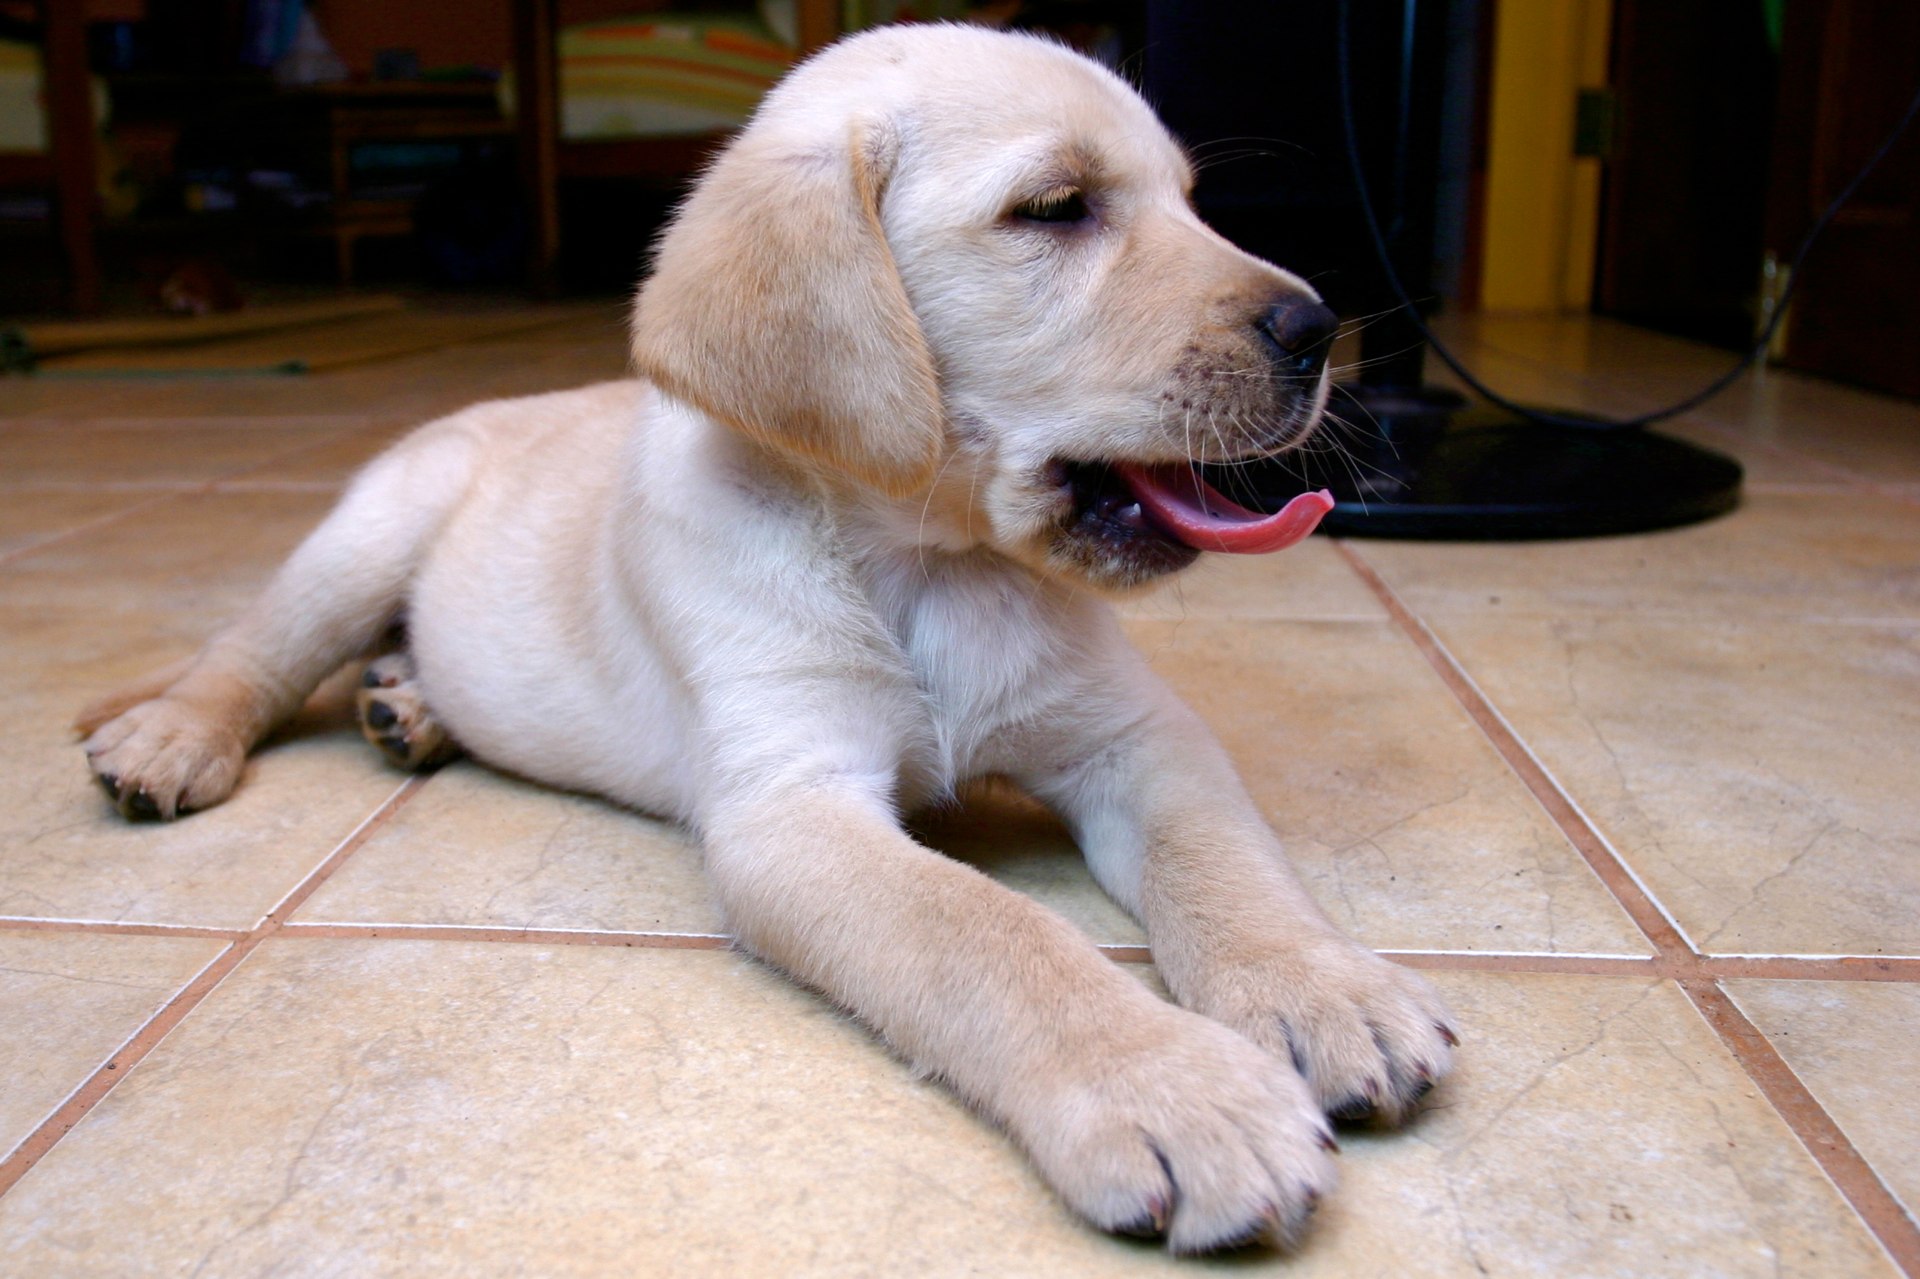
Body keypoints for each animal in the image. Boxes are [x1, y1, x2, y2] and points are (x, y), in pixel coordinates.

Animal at [78, 24, 1451, 1252]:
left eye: (1191, 203)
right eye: (1057, 209)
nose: (1320, 329)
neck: (925, 564)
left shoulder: (1137, 736)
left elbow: (1223, 862)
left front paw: (1326, 989)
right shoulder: (792, 808)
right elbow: (993, 935)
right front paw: (1176, 1089)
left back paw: (406, 703)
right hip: (370, 530)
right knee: (254, 652)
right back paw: (172, 738)